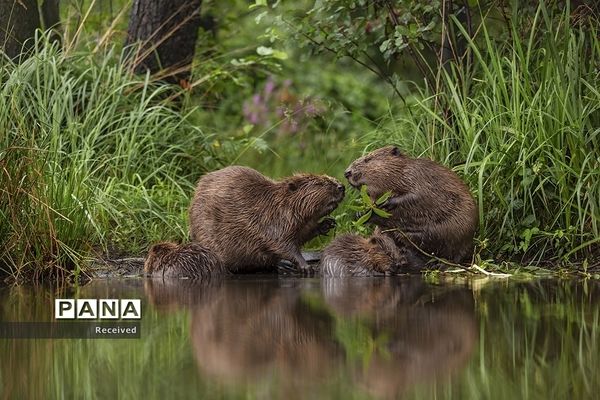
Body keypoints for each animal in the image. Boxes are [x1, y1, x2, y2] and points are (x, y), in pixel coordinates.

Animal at [190, 166, 344, 272]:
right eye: (319, 183)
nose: (341, 186)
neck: (278, 204)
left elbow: (303, 234)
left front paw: (328, 223)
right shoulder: (272, 221)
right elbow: (282, 245)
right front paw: (306, 267)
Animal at [342, 145, 478, 270]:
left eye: (368, 159)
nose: (347, 172)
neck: (401, 171)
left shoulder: (418, 176)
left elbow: (416, 195)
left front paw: (386, 202)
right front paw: (361, 214)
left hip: (459, 231)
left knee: (454, 255)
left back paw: (438, 263)